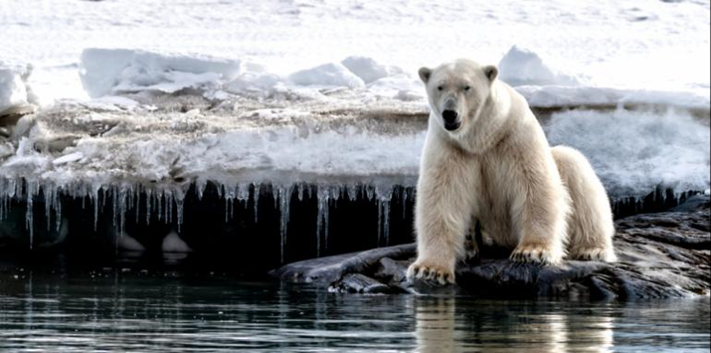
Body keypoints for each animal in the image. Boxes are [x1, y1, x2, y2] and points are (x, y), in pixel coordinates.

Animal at [406, 58, 616, 284]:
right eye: (440, 86)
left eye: (467, 87)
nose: (450, 113)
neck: (481, 138)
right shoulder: (450, 146)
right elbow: (443, 197)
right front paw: (429, 270)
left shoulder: (514, 135)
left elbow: (535, 185)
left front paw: (532, 252)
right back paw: (469, 246)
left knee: (575, 169)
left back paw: (592, 249)